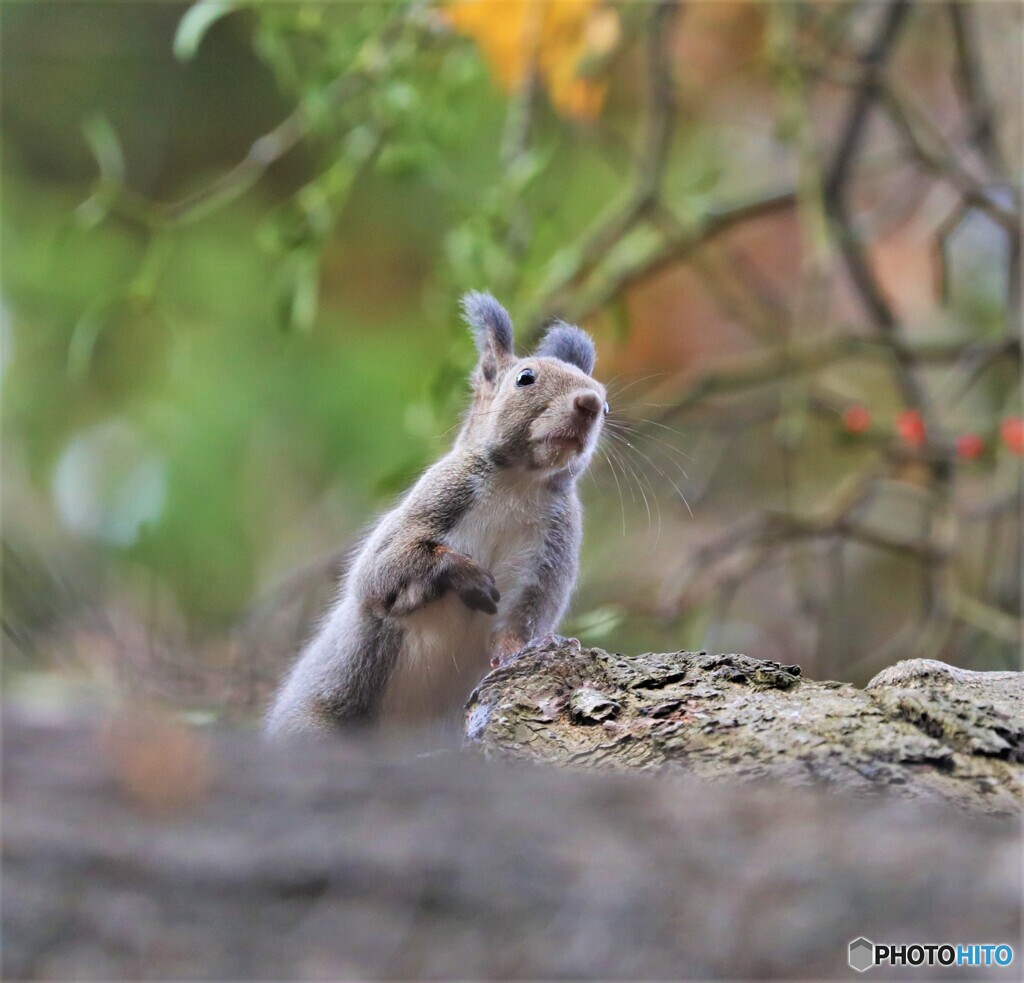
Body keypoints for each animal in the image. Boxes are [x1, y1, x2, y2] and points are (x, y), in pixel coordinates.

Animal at [266, 290, 606, 737]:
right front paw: (466, 575)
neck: (519, 485)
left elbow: (524, 621)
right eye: (525, 377)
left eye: (605, 399)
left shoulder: (551, 553)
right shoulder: (438, 498)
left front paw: (531, 649)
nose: (591, 403)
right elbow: (381, 571)